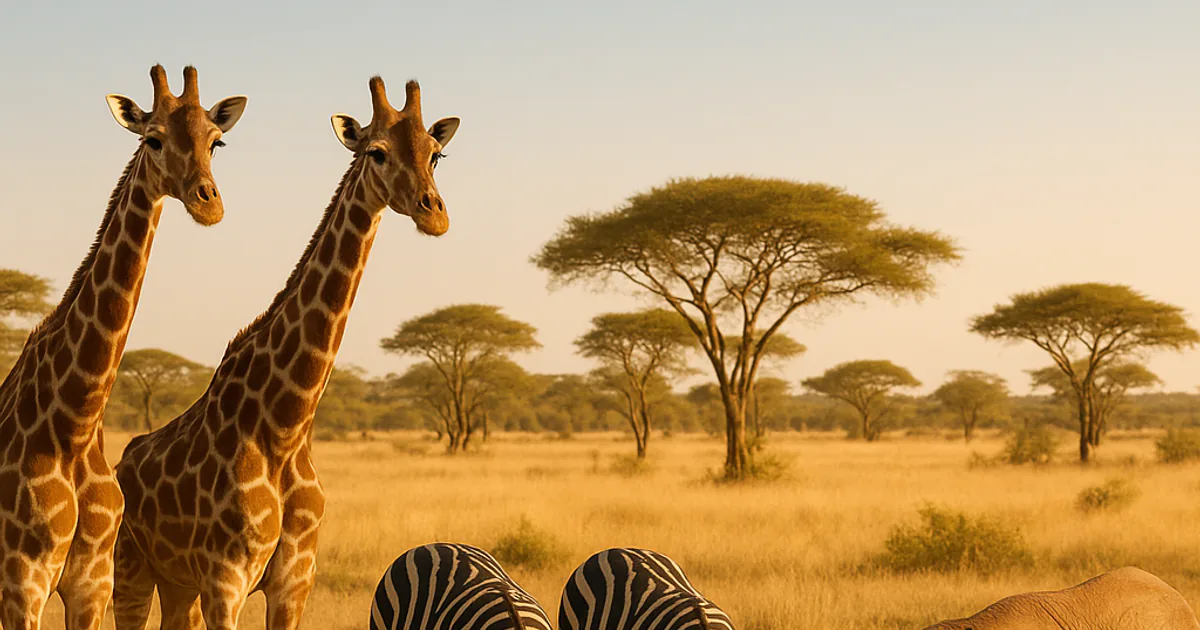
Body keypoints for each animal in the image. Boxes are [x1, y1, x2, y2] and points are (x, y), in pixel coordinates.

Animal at [0, 65, 246, 630]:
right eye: (152, 139)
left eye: (216, 142)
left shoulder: (92, 582)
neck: (74, 423)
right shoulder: (22, 581)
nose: (210, 203)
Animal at [112, 76, 459, 630]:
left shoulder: (295, 580)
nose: (435, 213)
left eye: (436, 153)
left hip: (179, 585)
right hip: (132, 569)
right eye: (377, 152)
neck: (285, 425)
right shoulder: (225, 580)